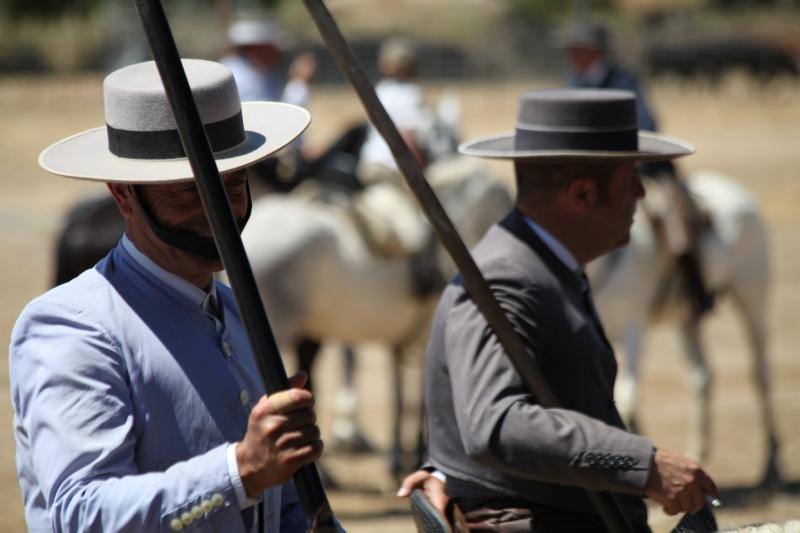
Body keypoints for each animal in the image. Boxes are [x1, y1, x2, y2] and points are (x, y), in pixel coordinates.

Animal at [241, 156, 512, 476]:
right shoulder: (426, 337)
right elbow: (420, 397)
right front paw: (417, 452)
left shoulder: (402, 339)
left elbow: (399, 394)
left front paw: (398, 455)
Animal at [588, 171, 780, 486]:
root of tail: (733, 189)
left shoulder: (632, 332)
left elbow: (627, 396)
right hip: (686, 320)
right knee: (702, 374)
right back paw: (699, 450)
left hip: (753, 297)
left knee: (761, 374)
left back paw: (771, 466)